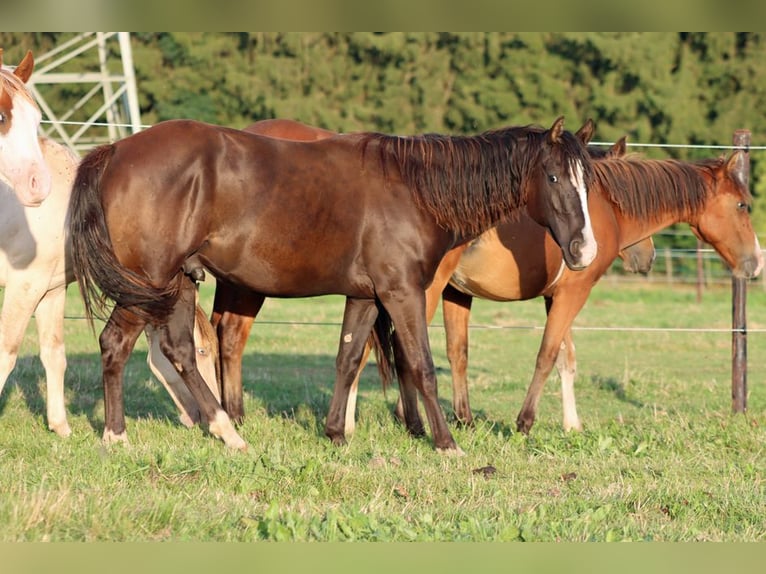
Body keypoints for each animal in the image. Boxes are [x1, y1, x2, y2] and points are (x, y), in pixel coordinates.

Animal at [68, 116, 599, 453]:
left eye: (587, 182)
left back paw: (227, 432)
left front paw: (336, 434)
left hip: (178, 282)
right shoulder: (402, 293)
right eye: (554, 177)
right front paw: (446, 444)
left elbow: (347, 359)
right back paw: (116, 436)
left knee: (178, 350)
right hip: (149, 280)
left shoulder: (366, 295)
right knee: (115, 344)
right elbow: (421, 366)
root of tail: (115, 151)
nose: (583, 251)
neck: (415, 190)